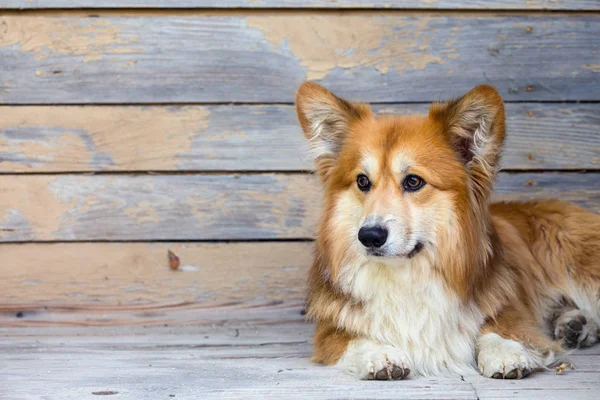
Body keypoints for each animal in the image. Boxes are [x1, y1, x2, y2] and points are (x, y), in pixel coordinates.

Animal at [294, 82, 600, 382]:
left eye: (413, 181)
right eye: (362, 181)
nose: (369, 236)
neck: (407, 275)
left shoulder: (509, 308)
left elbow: (496, 326)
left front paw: (503, 351)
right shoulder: (329, 331)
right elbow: (352, 340)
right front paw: (379, 353)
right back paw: (575, 325)